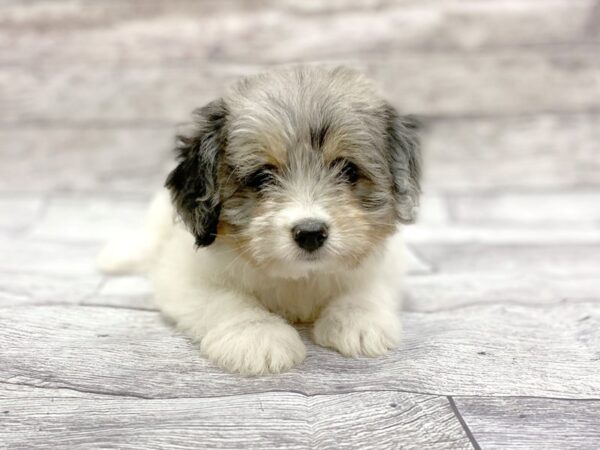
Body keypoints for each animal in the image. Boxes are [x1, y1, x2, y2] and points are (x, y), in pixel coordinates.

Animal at [98, 66, 420, 376]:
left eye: (349, 170)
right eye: (262, 177)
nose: (310, 233)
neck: (300, 279)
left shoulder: (388, 263)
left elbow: (368, 285)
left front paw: (359, 319)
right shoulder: (183, 274)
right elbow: (224, 298)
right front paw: (257, 335)